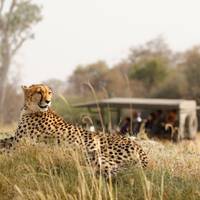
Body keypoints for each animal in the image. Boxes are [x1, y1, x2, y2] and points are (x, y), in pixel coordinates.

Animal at [0, 84, 147, 177]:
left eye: (49, 92)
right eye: (39, 92)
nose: (48, 101)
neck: (31, 109)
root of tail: (140, 147)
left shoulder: (20, 144)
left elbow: (5, 147)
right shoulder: (18, 140)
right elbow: (4, 140)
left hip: (92, 150)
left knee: (109, 171)